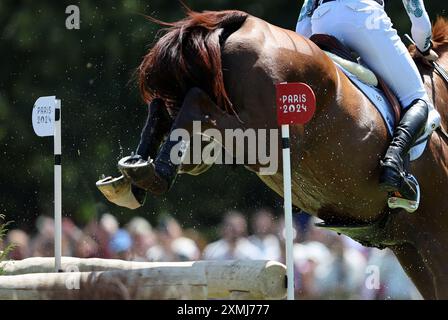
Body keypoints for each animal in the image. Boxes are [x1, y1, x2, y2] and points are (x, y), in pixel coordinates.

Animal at [116, 10, 448, 300]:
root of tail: (240, 23)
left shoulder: (409, 246)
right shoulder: (433, 238)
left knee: (165, 106)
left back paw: (136, 174)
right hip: (262, 137)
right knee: (193, 103)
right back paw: (148, 175)